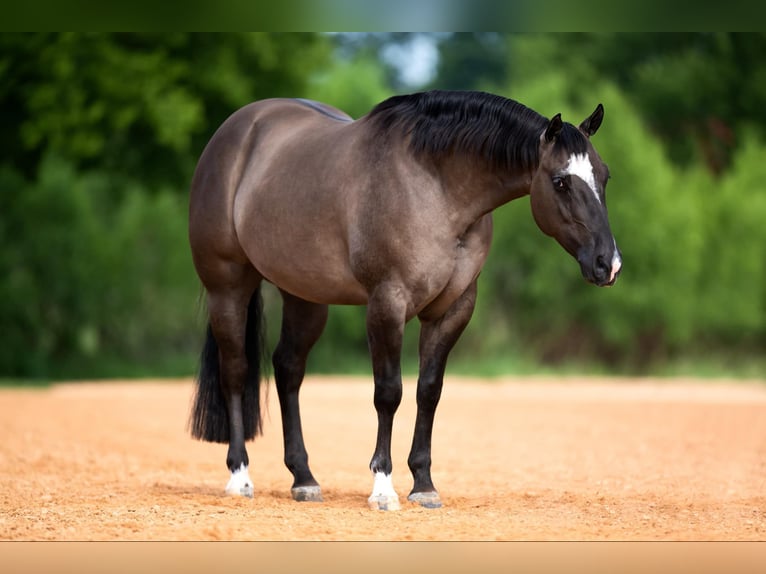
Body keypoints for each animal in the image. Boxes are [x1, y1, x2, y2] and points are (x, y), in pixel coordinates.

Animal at [188, 90, 624, 512]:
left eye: (605, 175)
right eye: (561, 181)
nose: (609, 263)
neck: (437, 190)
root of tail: (236, 131)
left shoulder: (453, 310)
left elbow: (428, 391)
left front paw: (424, 485)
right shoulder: (387, 303)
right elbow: (389, 392)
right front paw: (383, 487)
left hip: (305, 296)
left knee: (288, 369)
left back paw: (304, 479)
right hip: (228, 286)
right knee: (236, 371)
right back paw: (240, 477)